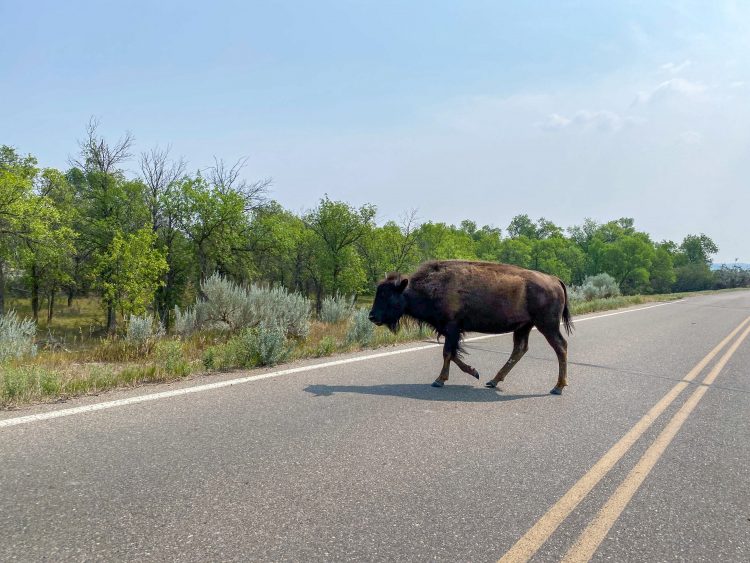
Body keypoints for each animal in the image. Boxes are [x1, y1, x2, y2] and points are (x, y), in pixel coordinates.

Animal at [370, 262, 576, 396]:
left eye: (386, 294)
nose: (372, 316)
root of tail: (555, 280)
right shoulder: (451, 331)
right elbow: (453, 354)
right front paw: (474, 372)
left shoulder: (452, 328)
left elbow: (447, 353)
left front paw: (439, 380)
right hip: (524, 327)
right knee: (520, 349)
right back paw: (493, 381)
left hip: (546, 325)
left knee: (561, 347)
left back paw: (558, 387)